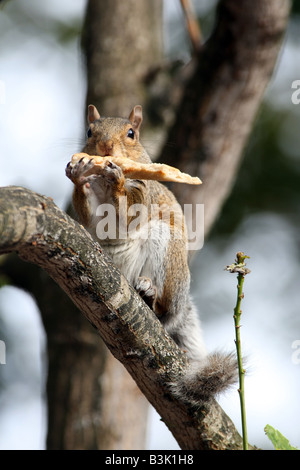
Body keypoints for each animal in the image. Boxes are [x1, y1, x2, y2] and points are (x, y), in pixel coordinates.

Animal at [65, 104, 237, 406]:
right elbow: (91, 216)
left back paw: (149, 294)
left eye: (131, 134)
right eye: (89, 131)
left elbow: (128, 213)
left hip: (165, 254)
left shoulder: (144, 192)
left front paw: (117, 178)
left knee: (163, 311)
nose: (106, 147)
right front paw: (79, 175)